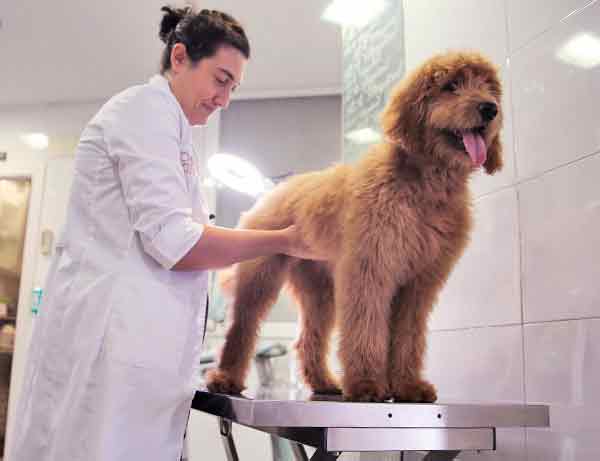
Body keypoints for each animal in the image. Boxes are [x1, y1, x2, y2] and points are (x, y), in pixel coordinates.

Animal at [206, 52, 502, 400]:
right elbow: (365, 327)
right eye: (451, 86)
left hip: (319, 289)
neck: (423, 185)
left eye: (488, 87)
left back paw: (324, 382)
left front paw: (407, 385)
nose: (490, 108)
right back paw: (225, 377)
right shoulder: (369, 268)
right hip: (260, 275)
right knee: (243, 326)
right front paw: (366, 384)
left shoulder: (419, 283)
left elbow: (408, 336)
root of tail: (273, 191)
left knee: (308, 339)